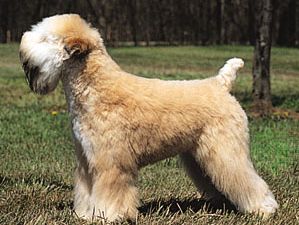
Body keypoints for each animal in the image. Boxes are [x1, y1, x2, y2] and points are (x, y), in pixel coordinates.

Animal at [19, 14, 278, 222]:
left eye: (45, 38)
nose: (22, 43)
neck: (95, 86)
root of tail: (220, 84)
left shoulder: (110, 163)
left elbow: (110, 192)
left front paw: (108, 215)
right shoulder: (86, 159)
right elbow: (86, 191)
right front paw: (86, 214)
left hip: (226, 152)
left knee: (249, 181)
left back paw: (264, 210)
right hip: (200, 157)